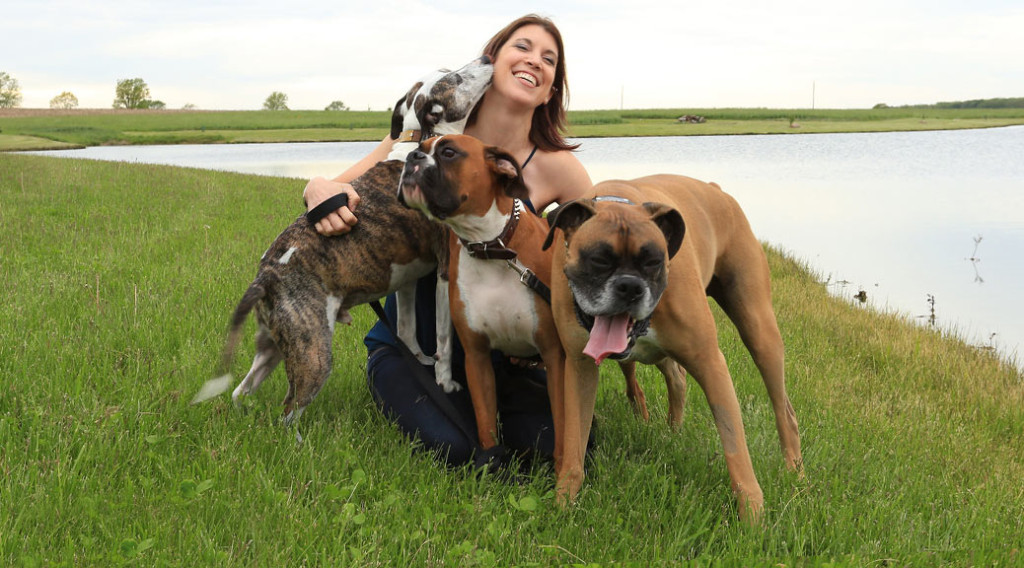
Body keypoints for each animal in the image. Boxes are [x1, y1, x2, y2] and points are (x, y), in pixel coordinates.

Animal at [192, 57, 495, 440]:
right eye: (454, 78)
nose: (487, 59)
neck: (423, 140)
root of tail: (266, 276)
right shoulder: (445, 273)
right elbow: (444, 338)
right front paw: (445, 382)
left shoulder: (407, 280)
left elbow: (407, 329)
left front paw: (418, 361)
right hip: (314, 353)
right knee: (288, 409)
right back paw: (300, 445)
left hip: (274, 346)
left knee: (240, 390)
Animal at [399, 135, 688, 468]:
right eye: (420, 146)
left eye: (448, 152)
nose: (412, 157)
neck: (492, 247)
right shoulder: (477, 358)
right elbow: (485, 424)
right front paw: (493, 465)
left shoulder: (555, 356)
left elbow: (562, 426)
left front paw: (562, 466)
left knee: (651, 377)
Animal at [548, 176, 802, 521]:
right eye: (599, 260)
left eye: (654, 262)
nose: (630, 286)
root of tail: (715, 188)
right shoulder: (580, 368)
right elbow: (575, 444)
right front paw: (563, 505)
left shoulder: (711, 364)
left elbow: (736, 449)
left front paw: (752, 517)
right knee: (676, 377)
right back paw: (673, 431)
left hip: (760, 332)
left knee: (784, 410)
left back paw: (795, 474)